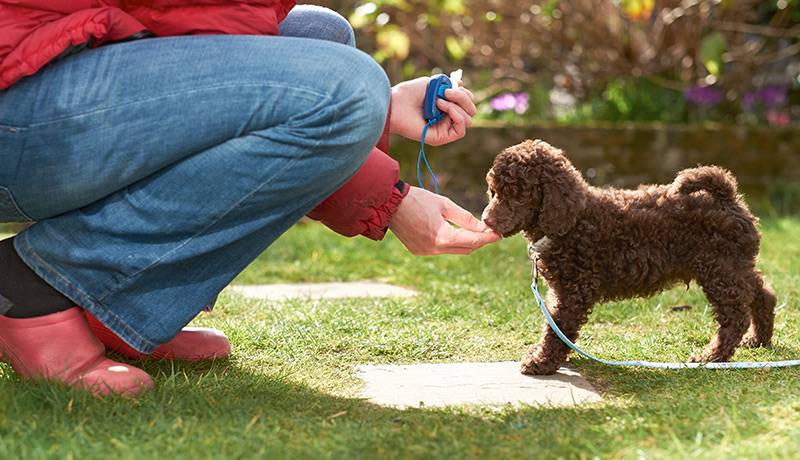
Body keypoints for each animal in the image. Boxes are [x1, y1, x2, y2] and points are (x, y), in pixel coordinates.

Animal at [482, 139, 776, 374]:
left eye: (517, 194)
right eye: (494, 191)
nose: (486, 220)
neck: (573, 221)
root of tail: (727, 197)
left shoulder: (574, 291)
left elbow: (558, 328)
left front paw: (541, 362)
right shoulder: (562, 290)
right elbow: (553, 324)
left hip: (719, 269)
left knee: (735, 315)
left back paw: (712, 356)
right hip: (734, 266)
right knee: (762, 294)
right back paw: (758, 339)